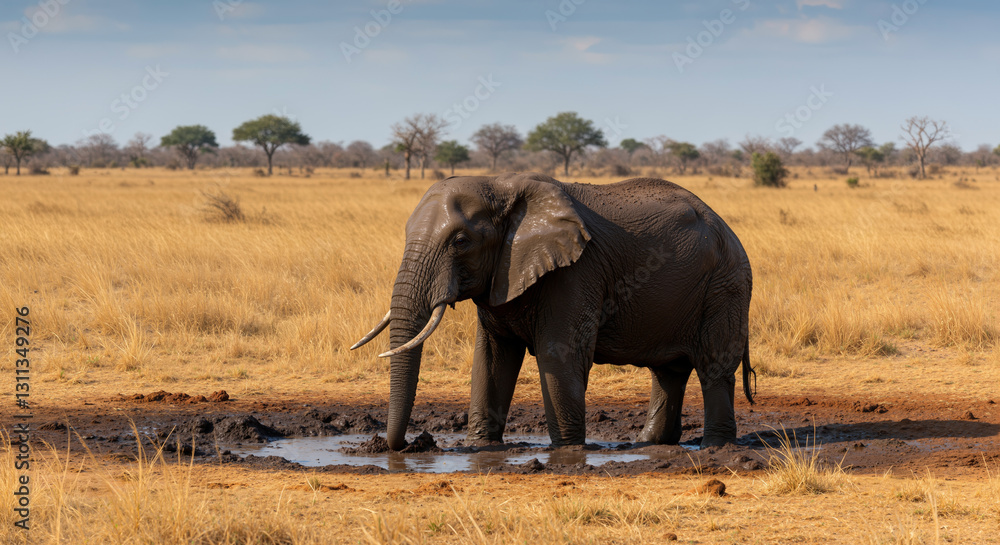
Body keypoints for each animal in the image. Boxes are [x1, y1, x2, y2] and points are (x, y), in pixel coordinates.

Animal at [352, 172, 754, 450]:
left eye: (461, 241)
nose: (409, 445)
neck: (501, 185)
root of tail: (726, 227)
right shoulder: (503, 275)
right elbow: (492, 358)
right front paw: (481, 447)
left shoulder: (577, 271)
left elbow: (558, 354)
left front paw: (568, 451)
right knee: (668, 371)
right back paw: (650, 443)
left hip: (725, 285)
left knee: (714, 367)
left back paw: (715, 447)